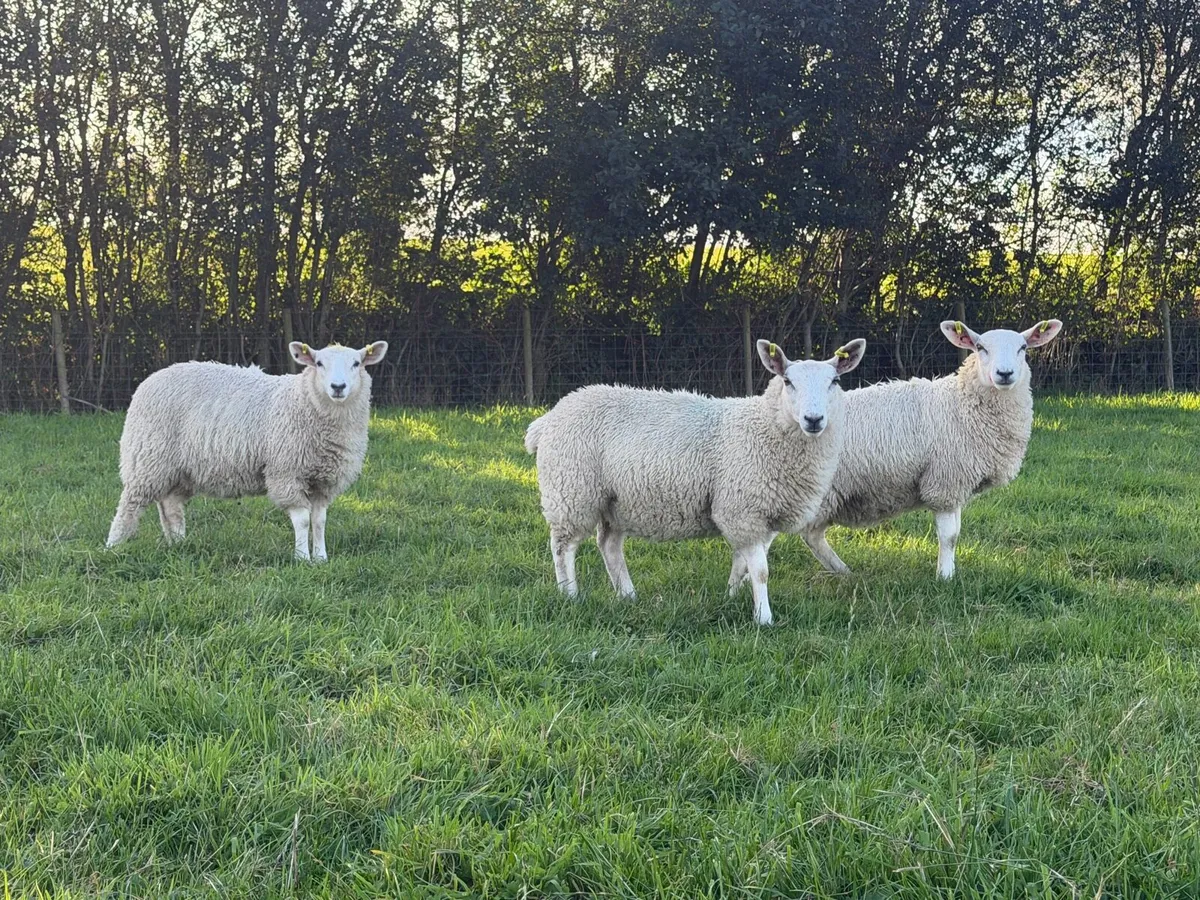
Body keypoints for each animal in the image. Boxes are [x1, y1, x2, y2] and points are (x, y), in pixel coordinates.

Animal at [105, 340, 388, 561]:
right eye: (318, 363)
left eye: (357, 363)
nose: (338, 387)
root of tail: (152, 378)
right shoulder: (286, 472)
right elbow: (302, 519)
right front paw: (302, 558)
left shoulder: (324, 479)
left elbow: (319, 521)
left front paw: (321, 558)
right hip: (146, 457)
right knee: (129, 506)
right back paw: (113, 547)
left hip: (178, 468)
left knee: (170, 507)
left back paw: (178, 544)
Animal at [524, 337, 866, 625]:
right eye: (787, 381)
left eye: (835, 382)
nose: (814, 420)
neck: (763, 427)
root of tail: (547, 420)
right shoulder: (742, 510)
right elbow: (760, 572)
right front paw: (764, 619)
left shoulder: (761, 516)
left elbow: (742, 566)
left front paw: (731, 597)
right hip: (571, 491)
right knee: (563, 546)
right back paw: (570, 595)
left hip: (615, 501)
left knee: (608, 545)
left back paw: (628, 595)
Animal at [800, 319, 1062, 580]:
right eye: (980, 348)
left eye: (1023, 348)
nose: (1004, 374)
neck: (961, 404)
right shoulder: (945, 482)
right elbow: (949, 536)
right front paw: (944, 578)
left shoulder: (956, 485)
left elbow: (957, 532)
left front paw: (951, 572)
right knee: (811, 535)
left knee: (813, 535)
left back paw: (844, 571)